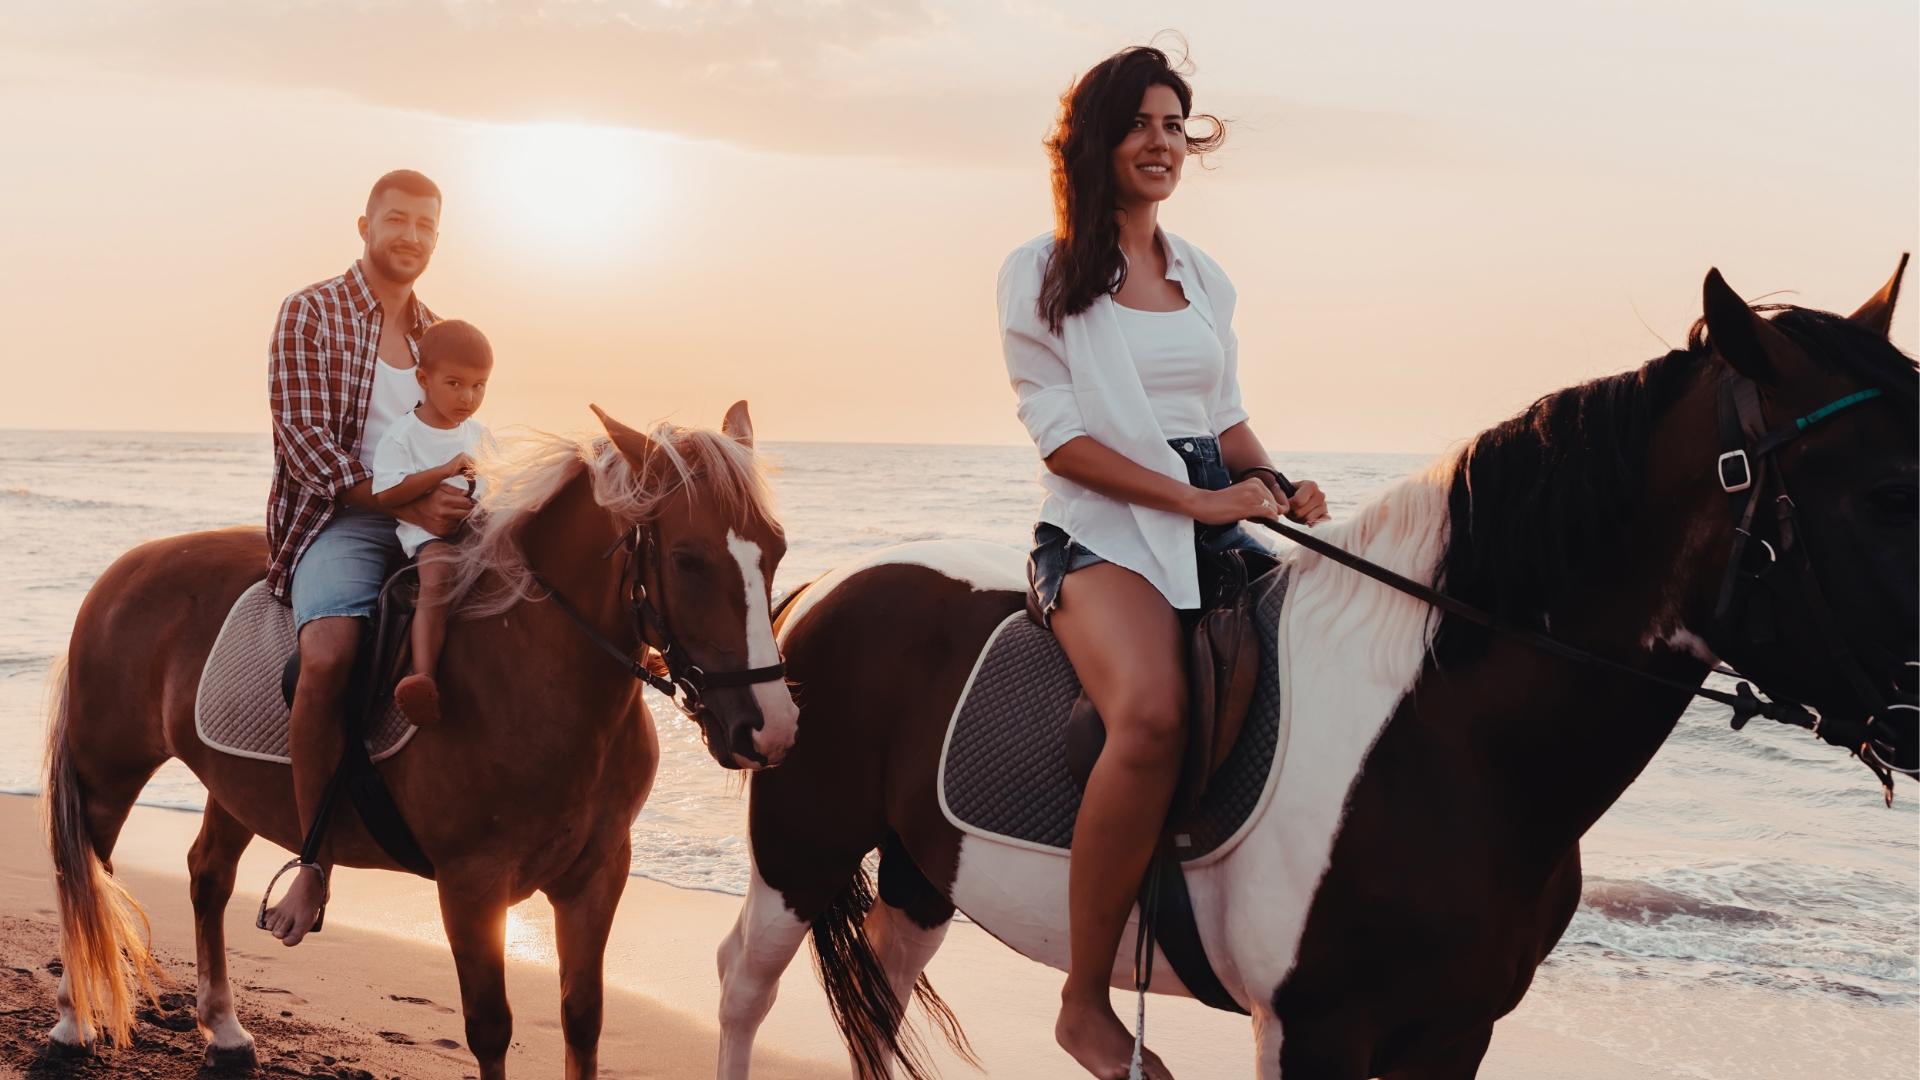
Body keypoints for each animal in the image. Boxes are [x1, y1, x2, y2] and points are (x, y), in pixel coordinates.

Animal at [46, 401, 794, 1076]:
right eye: (688, 559)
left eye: (776, 551)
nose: (770, 725)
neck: (531, 668)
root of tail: (126, 570)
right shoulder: (471, 884)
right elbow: (490, 1028)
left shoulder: (598, 875)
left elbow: (583, 1019)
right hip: (108, 773)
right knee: (84, 875)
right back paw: (72, 1025)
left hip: (233, 789)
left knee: (207, 877)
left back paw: (225, 1033)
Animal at [714, 263, 1912, 1076]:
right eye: (1884, 494)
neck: (1447, 742)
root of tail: (824, 591)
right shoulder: (1315, 1031)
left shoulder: (1455, 1033)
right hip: (799, 853)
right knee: (743, 985)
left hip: (925, 874)